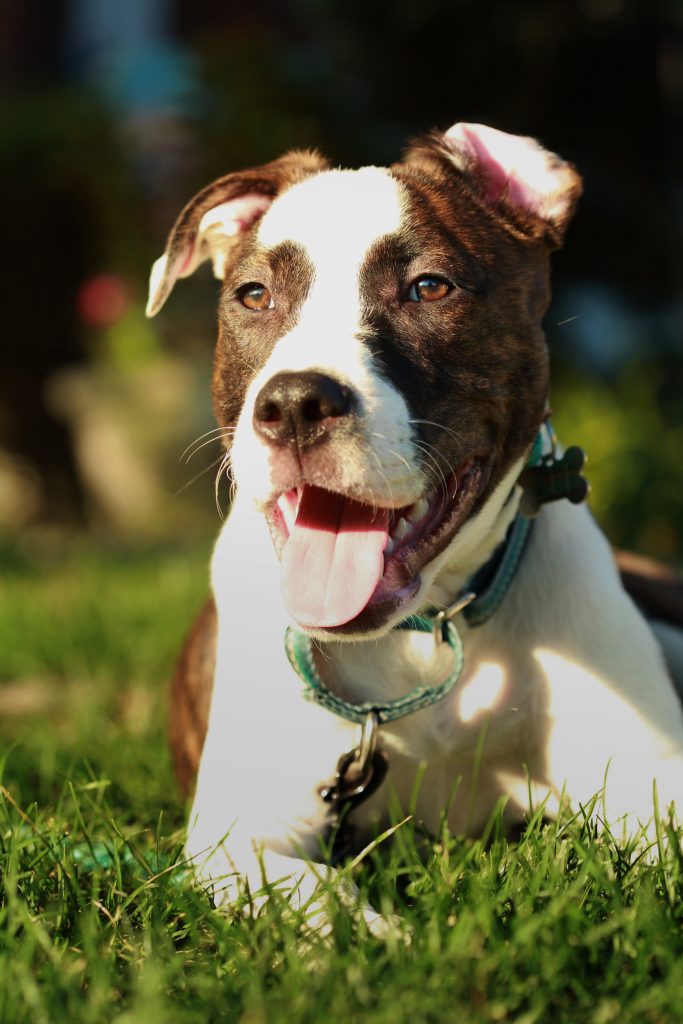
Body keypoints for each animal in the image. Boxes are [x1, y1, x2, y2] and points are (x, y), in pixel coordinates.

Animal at [147, 123, 683, 925]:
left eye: (429, 287)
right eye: (254, 295)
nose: (295, 403)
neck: (427, 629)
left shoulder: (652, 782)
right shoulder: (239, 838)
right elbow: (329, 908)